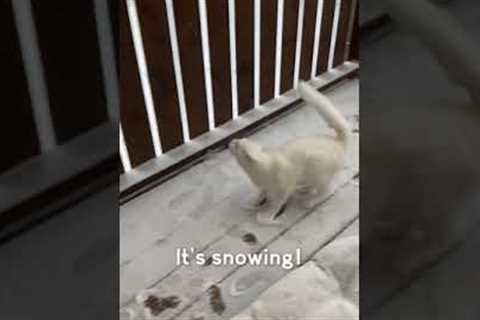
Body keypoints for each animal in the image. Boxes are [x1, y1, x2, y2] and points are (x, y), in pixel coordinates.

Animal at [229, 81, 348, 224]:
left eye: (237, 145)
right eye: (238, 141)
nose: (231, 141)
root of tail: (339, 142)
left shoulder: (282, 190)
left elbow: (274, 206)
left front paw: (268, 217)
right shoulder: (264, 186)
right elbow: (260, 194)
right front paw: (252, 203)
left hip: (321, 175)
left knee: (327, 191)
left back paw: (310, 201)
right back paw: (304, 188)